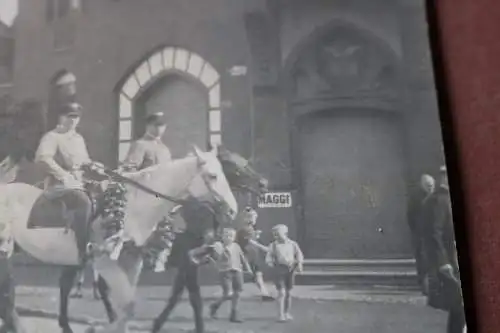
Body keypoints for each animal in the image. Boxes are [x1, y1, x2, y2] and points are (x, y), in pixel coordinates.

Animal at [0, 147, 236, 332]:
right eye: (213, 175)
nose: (233, 210)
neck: (133, 208)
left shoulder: (133, 262)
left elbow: (128, 308)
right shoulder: (106, 262)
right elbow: (128, 304)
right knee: (9, 291)